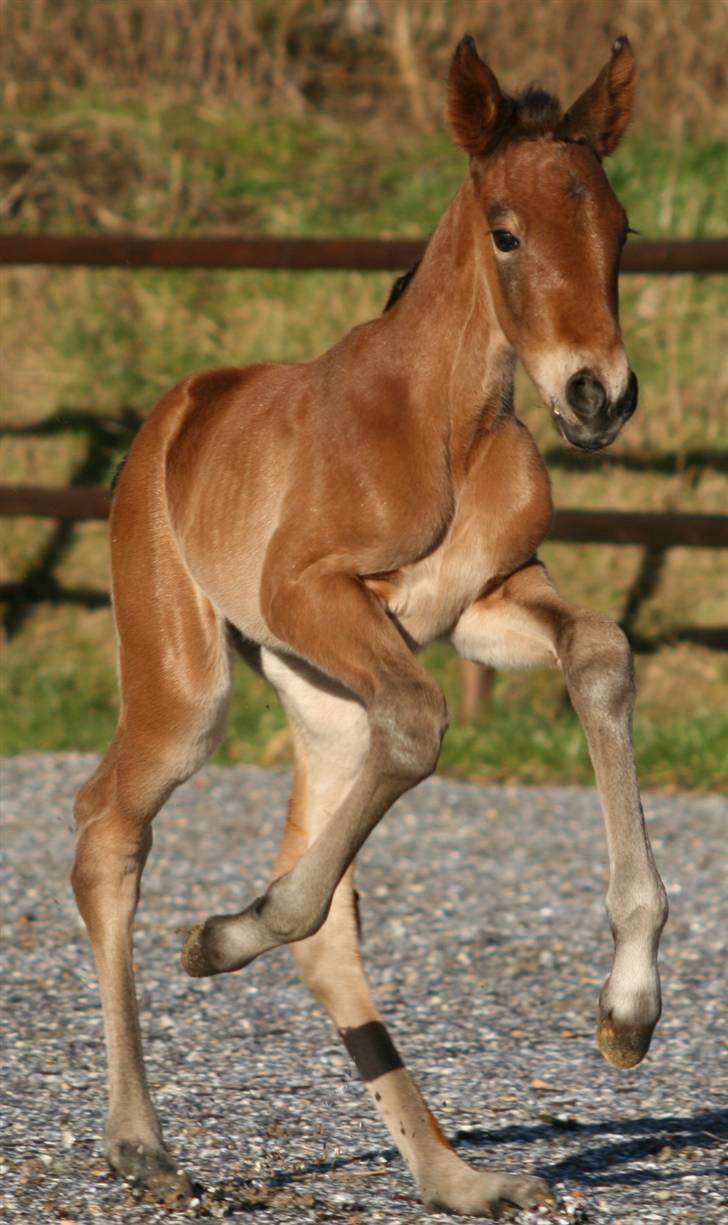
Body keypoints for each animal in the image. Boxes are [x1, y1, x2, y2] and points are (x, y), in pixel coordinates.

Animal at [70, 35, 666, 1215]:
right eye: (506, 230)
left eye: (619, 230)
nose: (597, 397)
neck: (445, 420)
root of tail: (174, 414)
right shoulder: (310, 592)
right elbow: (427, 717)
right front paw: (225, 932)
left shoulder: (486, 598)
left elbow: (599, 653)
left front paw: (628, 1009)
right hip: (191, 680)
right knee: (106, 826)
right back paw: (141, 1139)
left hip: (318, 696)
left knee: (328, 917)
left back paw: (459, 1176)